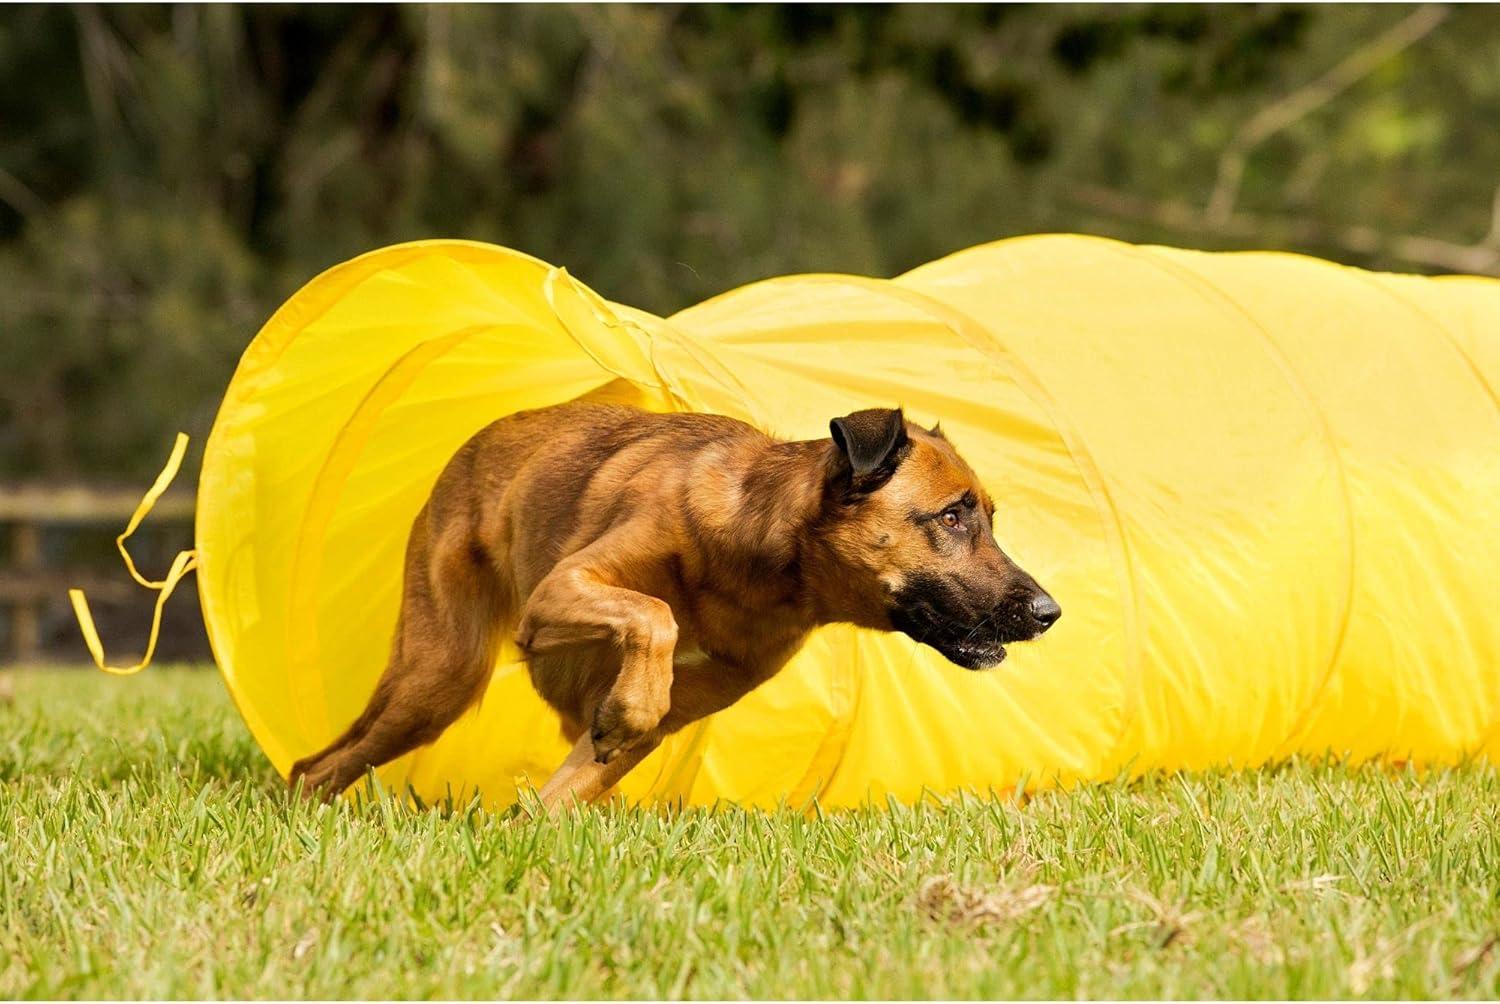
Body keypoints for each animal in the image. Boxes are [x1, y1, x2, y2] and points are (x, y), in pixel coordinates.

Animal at [289, 399, 1056, 804]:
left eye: (989, 516)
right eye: (952, 516)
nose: (1049, 612)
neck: (759, 564)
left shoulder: (671, 714)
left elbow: (566, 791)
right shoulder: (562, 590)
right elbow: (652, 615)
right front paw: (631, 703)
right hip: (437, 680)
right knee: (318, 765)